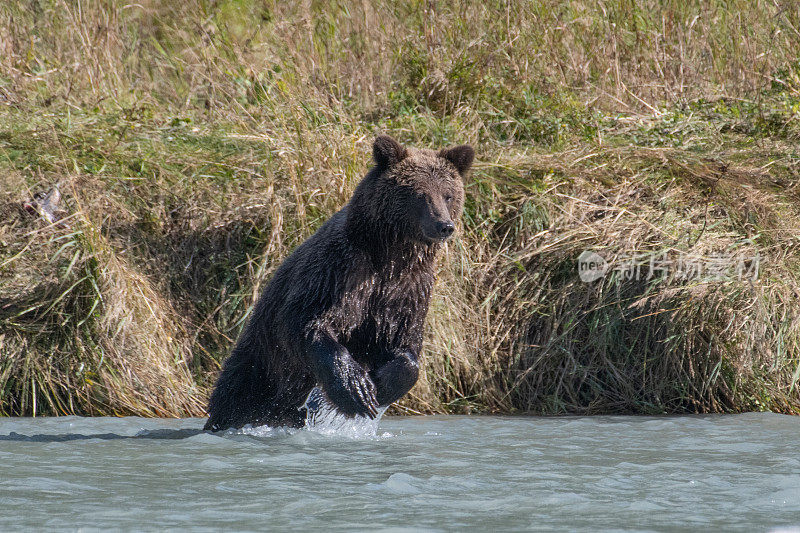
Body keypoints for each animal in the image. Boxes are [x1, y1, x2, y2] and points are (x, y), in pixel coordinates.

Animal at [203, 135, 476, 430]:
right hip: (259, 368)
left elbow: (405, 344)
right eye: (420, 193)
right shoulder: (338, 272)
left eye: (448, 194)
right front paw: (355, 389)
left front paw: (381, 386)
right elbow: (307, 322)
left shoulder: (407, 290)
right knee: (236, 397)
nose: (444, 225)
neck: (390, 254)